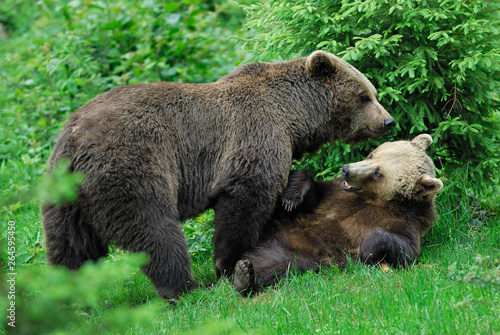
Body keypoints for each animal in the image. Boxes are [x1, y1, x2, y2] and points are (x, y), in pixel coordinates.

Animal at [42, 50, 394, 300]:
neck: (293, 116)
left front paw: (294, 193)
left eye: (373, 93)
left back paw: (70, 297)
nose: (388, 121)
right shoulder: (252, 136)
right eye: (365, 96)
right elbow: (246, 201)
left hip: (65, 194)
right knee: (154, 230)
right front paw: (230, 265)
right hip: (134, 166)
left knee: (70, 247)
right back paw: (186, 288)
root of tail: (74, 140)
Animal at [231, 135, 442, 296]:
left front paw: (368, 248)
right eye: (372, 154)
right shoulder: (335, 196)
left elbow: (406, 250)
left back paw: (245, 276)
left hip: (305, 253)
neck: (375, 200)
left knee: (277, 264)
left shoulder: (405, 219)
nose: (346, 169)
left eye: (378, 173)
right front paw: (292, 193)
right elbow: (313, 195)